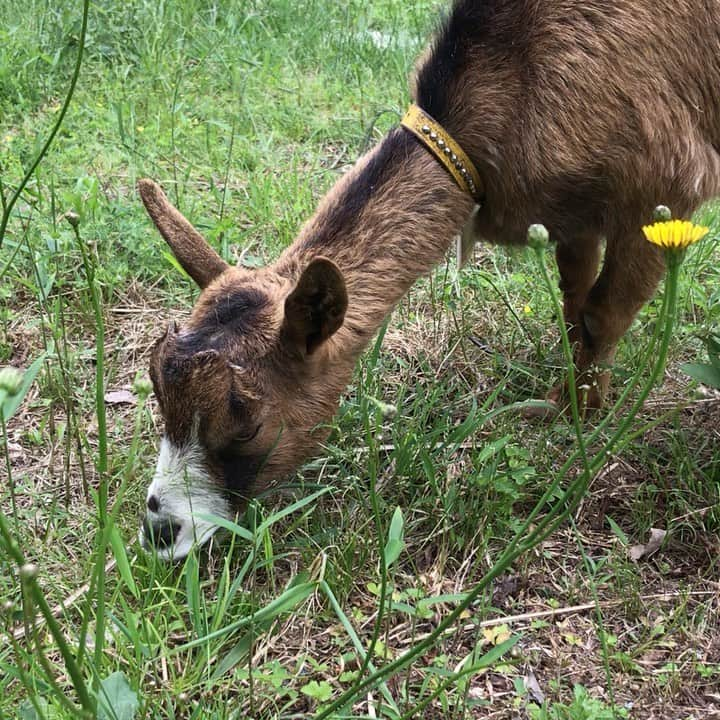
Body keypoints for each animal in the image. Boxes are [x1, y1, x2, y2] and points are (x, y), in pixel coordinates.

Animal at [136, 0, 720, 560]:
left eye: (250, 426)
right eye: (160, 398)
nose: (160, 532)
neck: (514, 73)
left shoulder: (662, 186)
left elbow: (601, 315)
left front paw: (576, 412)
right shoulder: (570, 216)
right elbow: (574, 299)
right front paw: (570, 392)